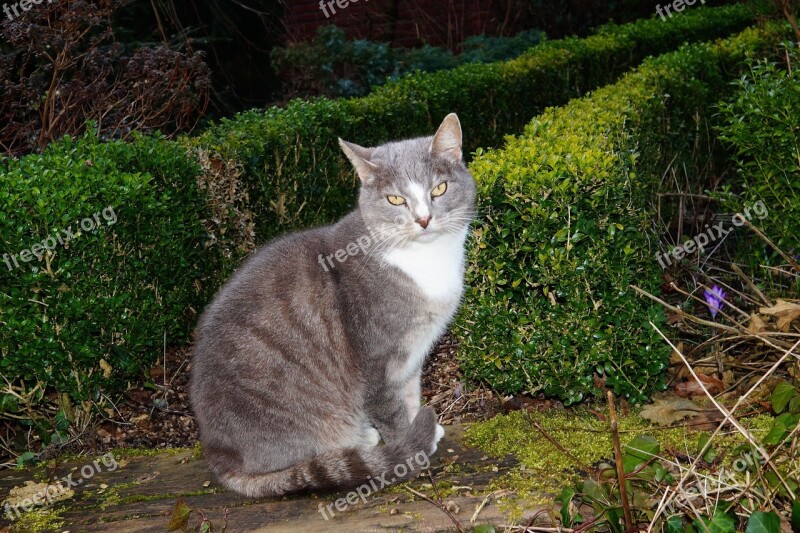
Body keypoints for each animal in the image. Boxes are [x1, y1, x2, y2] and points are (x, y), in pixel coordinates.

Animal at [188, 113, 476, 498]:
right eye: (395, 199)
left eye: (439, 189)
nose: (424, 219)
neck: (423, 261)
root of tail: (219, 454)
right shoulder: (376, 360)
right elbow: (391, 409)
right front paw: (408, 446)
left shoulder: (413, 355)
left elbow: (411, 393)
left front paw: (421, 426)